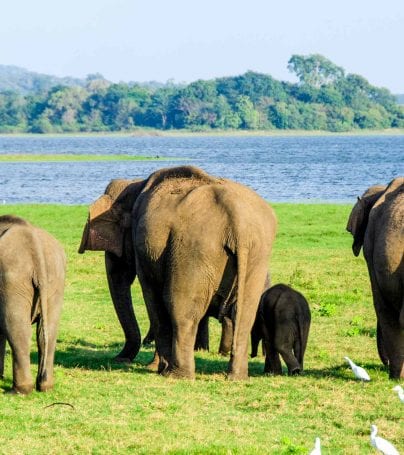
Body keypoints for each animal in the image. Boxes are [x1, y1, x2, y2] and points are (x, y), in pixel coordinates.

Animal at [0, 216, 65, 394]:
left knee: (18, 329)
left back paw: (19, 390)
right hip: (56, 279)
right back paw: (45, 386)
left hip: (12, 280)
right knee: (47, 331)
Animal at [79, 166, 276, 380]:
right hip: (257, 254)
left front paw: (155, 367)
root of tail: (238, 221)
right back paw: (236, 377)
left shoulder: (144, 249)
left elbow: (152, 297)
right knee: (245, 313)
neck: (135, 184)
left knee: (180, 309)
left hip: (193, 250)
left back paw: (176, 374)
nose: (119, 359)